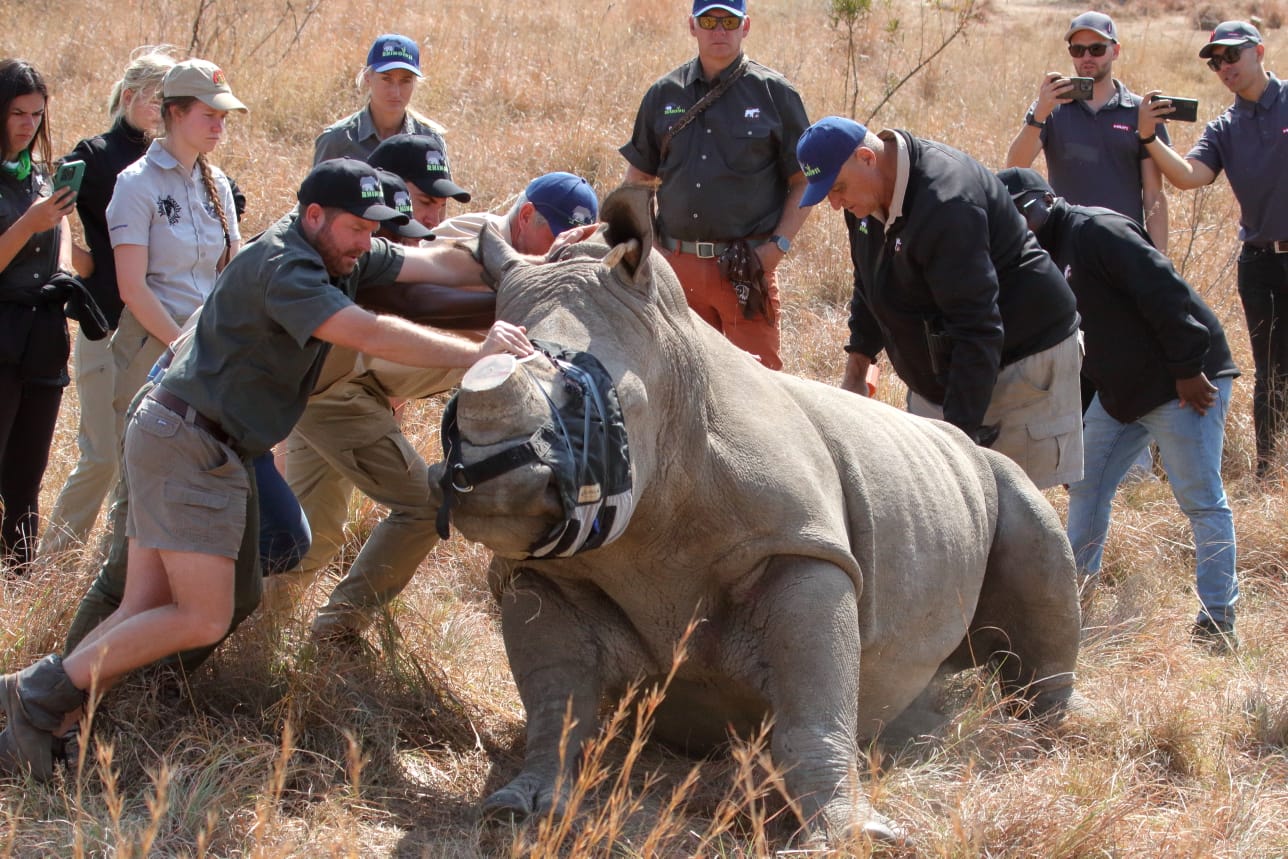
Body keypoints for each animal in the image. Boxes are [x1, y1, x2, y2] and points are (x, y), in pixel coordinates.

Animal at [430, 185, 1081, 844]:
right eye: (455, 399)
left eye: (598, 404)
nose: (489, 480)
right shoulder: (544, 572)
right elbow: (557, 706)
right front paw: (522, 809)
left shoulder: (801, 547)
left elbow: (813, 714)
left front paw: (850, 837)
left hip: (997, 473)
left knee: (1040, 547)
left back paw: (1038, 734)